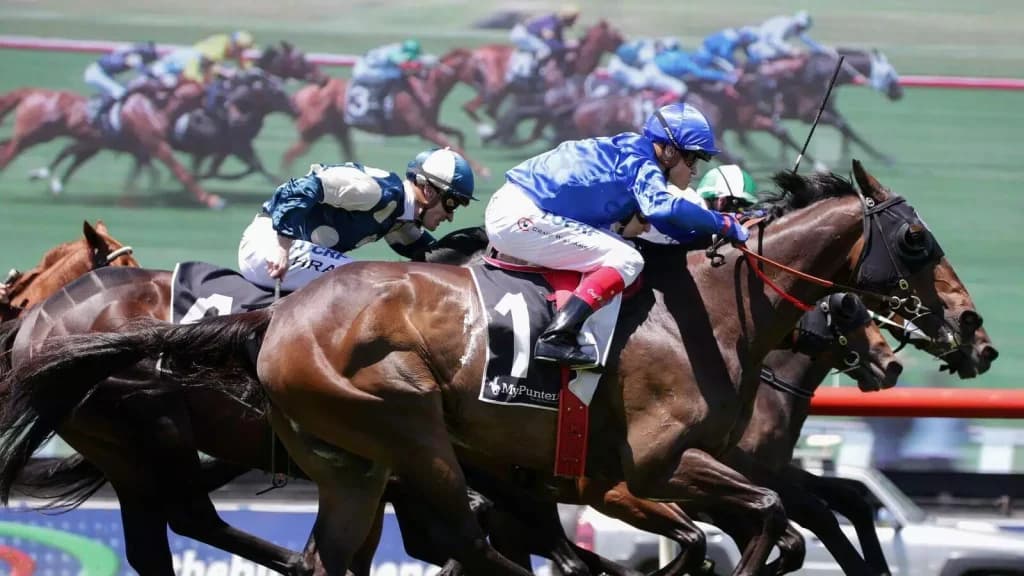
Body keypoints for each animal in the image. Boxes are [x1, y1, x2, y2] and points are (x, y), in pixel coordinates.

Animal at [2, 161, 995, 575]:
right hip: (394, 435)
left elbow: (796, 519)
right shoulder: (643, 472)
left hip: (337, 461)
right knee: (457, 542)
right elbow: (763, 529)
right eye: (916, 242)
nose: (977, 333)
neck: (712, 312)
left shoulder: (631, 480)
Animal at [281, 49, 490, 178]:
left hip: (338, 130)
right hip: (313, 132)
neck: (425, 88)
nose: (486, 88)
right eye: (476, 69)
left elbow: (458, 136)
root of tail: (303, 93)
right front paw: (483, 171)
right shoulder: (423, 129)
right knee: (289, 155)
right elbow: (451, 143)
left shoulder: (431, 125)